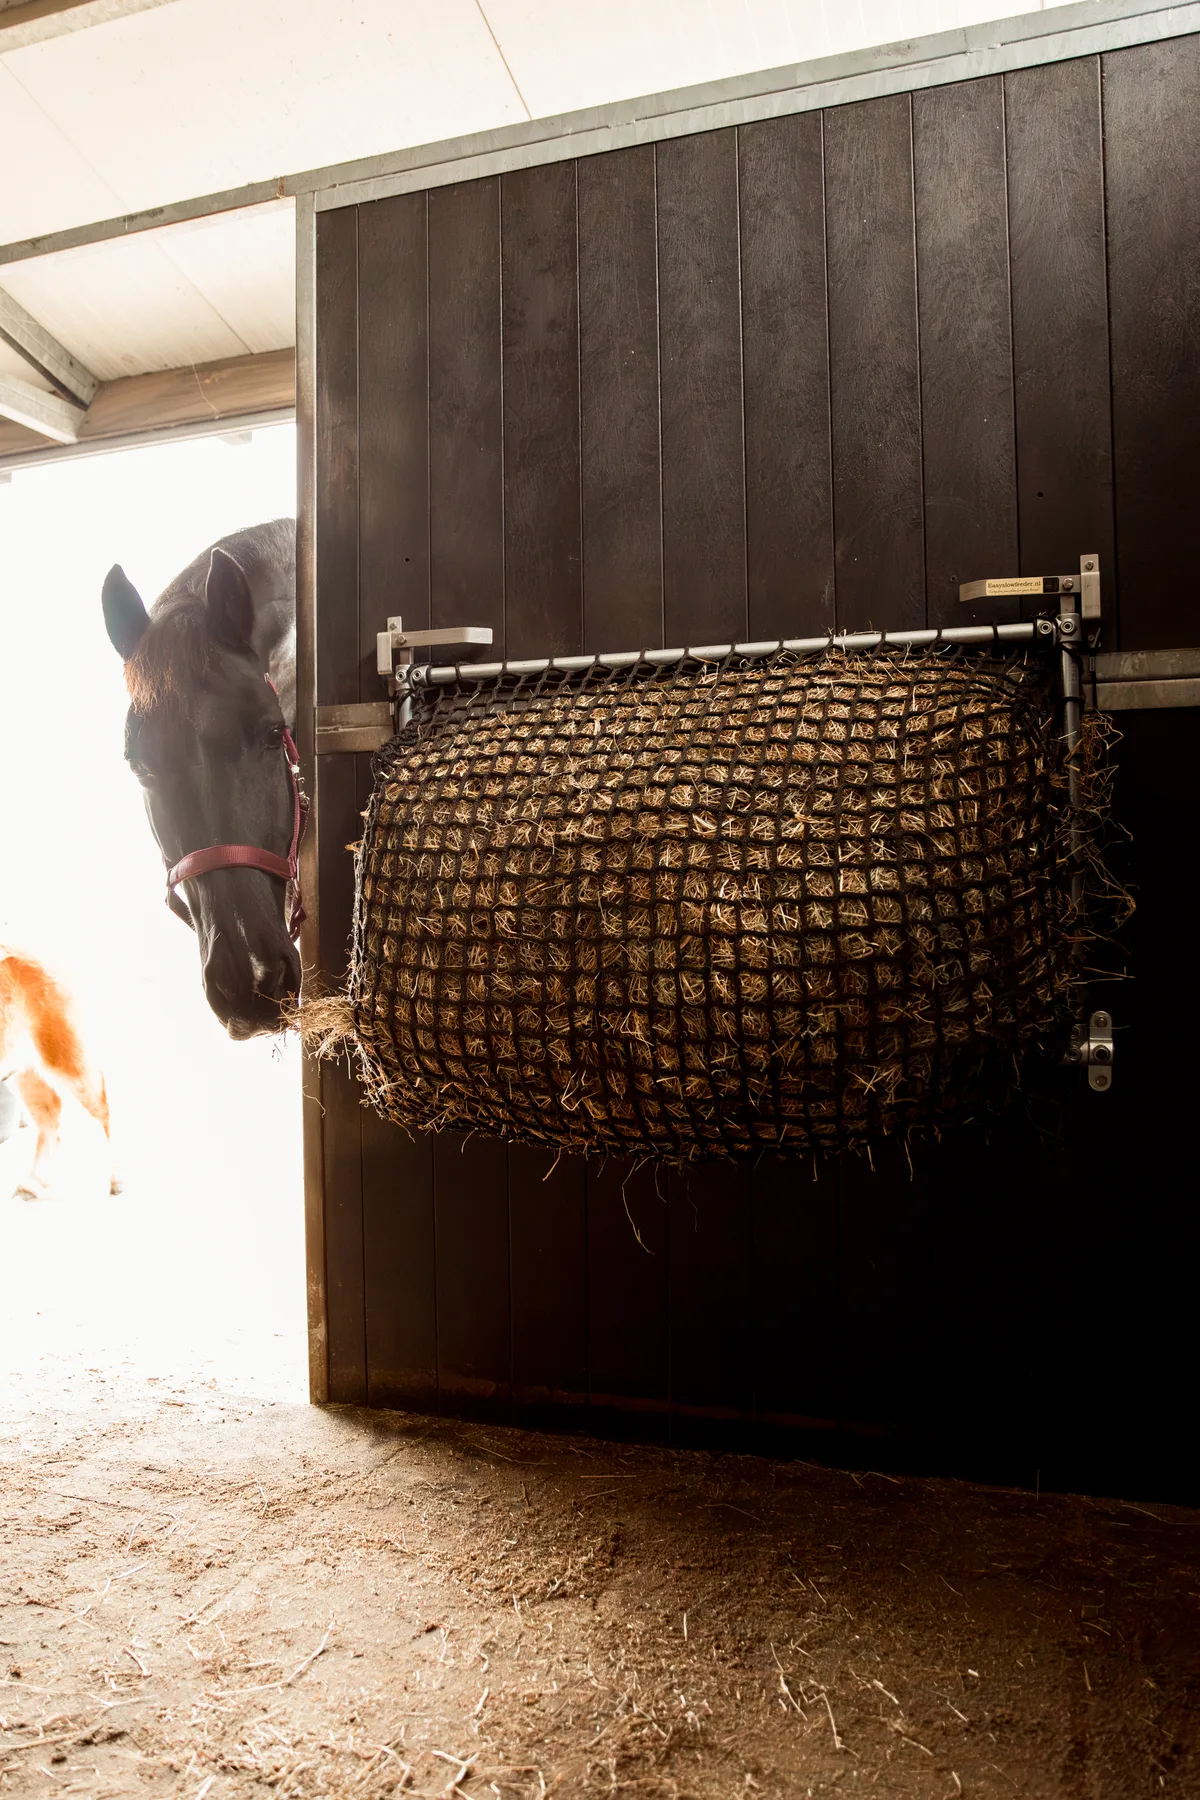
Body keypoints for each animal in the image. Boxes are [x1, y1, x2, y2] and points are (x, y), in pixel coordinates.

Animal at [0, 948, 117, 1199]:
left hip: (68, 1061)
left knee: (103, 1113)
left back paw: (115, 1181)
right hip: (25, 1072)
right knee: (50, 1119)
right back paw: (35, 1182)